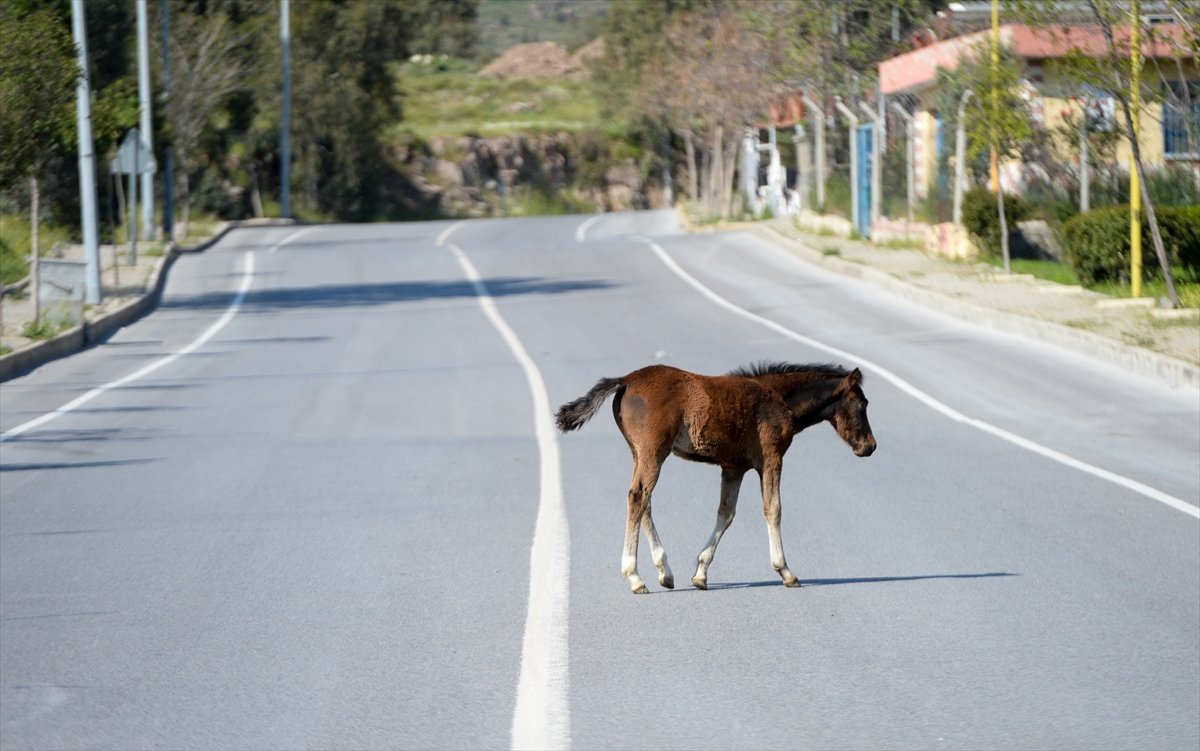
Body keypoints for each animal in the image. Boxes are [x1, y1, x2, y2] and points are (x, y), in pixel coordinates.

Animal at [556, 362, 878, 590]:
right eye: (862, 404)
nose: (870, 446)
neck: (779, 400)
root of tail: (625, 379)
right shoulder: (771, 458)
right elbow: (773, 509)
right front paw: (786, 571)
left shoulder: (733, 467)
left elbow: (726, 513)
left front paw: (700, 574)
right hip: (653, 451)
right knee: (638, 497)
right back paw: (635, 576)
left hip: (639, 452)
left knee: (644, 500)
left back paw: (665, 572)